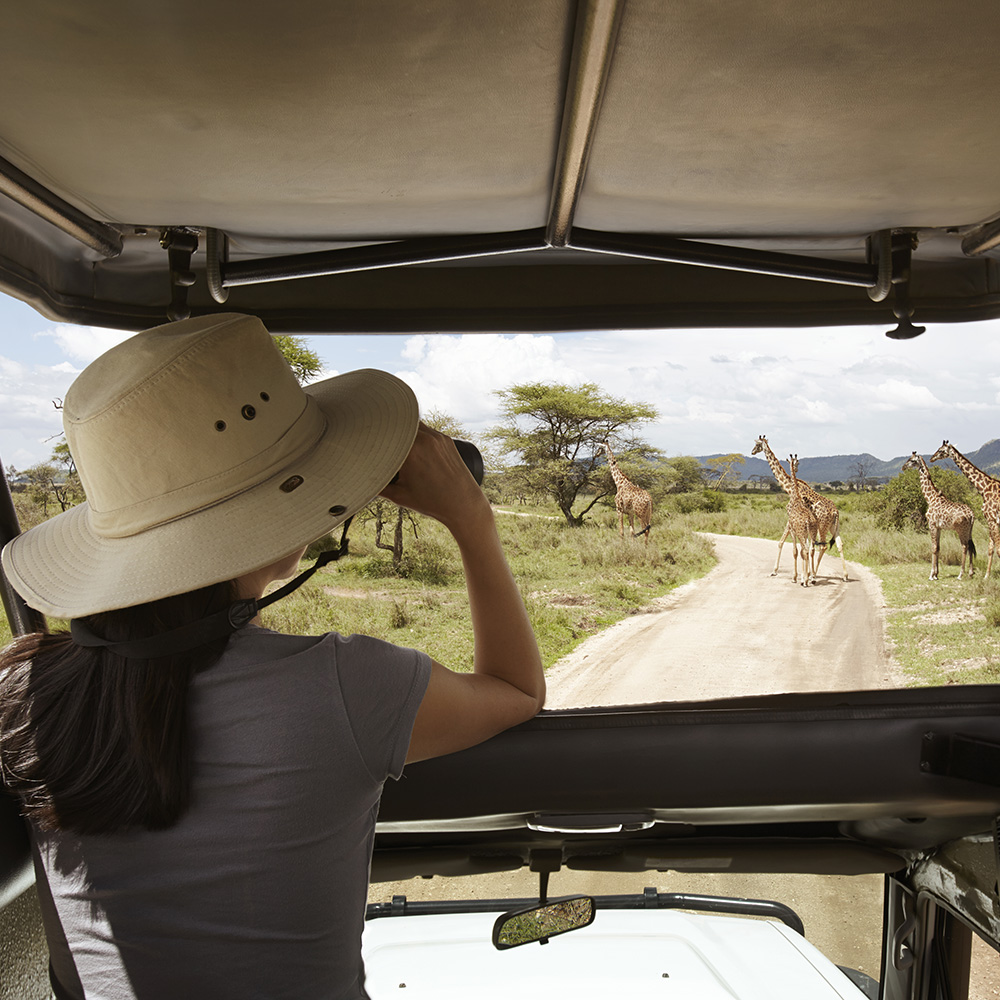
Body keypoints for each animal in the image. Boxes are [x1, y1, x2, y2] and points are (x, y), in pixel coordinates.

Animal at [751, 435, 848, 581]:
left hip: (822, 526)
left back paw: (814, 574)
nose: (752, 451)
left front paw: (778, 571)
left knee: (822, 547)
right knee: (839, 544)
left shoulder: (792, 518)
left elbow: (785, 543)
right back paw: (845, 575)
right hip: (833, 526)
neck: (790, 487)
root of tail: (835, 511)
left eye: (757, 444)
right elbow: (787, 543)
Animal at [930, 440, 999, 579]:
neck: (985, 488)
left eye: (941, 450)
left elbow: (995, 548)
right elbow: (991, 548)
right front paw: (986, 575)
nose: (932, 458)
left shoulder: (992, 519)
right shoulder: (992, 520)